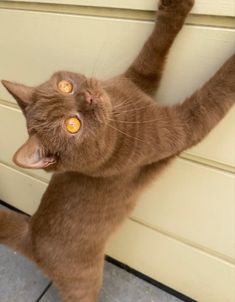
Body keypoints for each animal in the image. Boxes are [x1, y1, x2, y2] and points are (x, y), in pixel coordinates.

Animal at [0, 1, 235, 300]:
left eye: (66, 86)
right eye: (72, 125)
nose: (88, 97)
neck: (119, 114)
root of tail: (29, 234)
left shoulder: (139, 80)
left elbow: (155, 45)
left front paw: (176, 7)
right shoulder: (180, 128)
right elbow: (212, 95)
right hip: (84, 284)